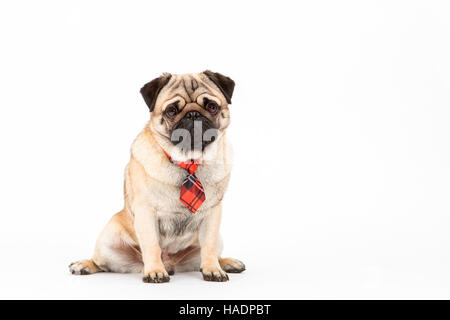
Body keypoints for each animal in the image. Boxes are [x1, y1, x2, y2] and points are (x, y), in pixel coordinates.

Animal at [69, 70, 246, 282]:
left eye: (211, 106)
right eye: (171, 111)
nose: (193, 114)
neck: (189, 161)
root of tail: (170, 264)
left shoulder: (213, 214)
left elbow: (209, 247)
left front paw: (213, 269)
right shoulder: (146, 212)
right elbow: (151, 245)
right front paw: (154, 271)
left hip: (217, 239)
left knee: (210, 252)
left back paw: (226, 263)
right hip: (107, 240)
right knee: (101, 263)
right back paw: (84, 265)